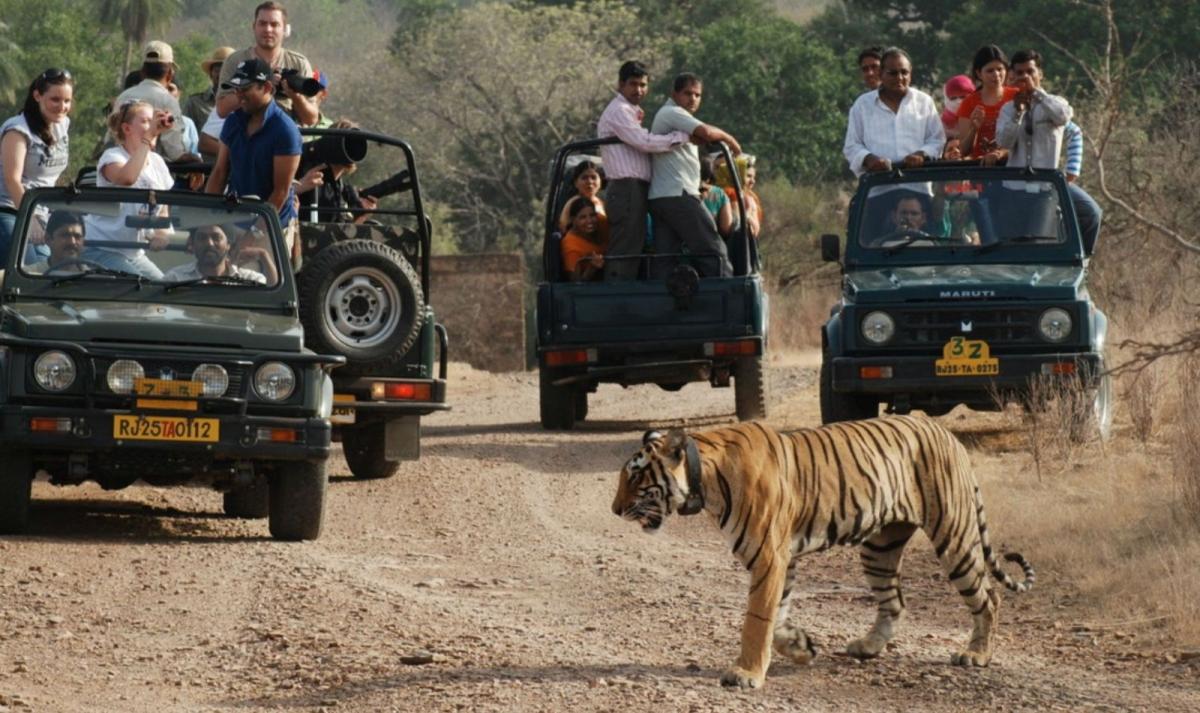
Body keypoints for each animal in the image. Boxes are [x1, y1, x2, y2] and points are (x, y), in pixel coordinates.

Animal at [610, 414, 1034, 689]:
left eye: (636, 476)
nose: (614, 510)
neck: (705, 481)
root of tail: (947, 433)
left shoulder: (769, 556)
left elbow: (757, 620)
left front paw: (746, 674)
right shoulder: (781, 560)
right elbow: (777, 617)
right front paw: (800, 648)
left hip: (954, 535)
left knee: (988, 597)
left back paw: (976, 654)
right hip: (880, 547)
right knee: (894, 601)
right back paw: (868, 646)